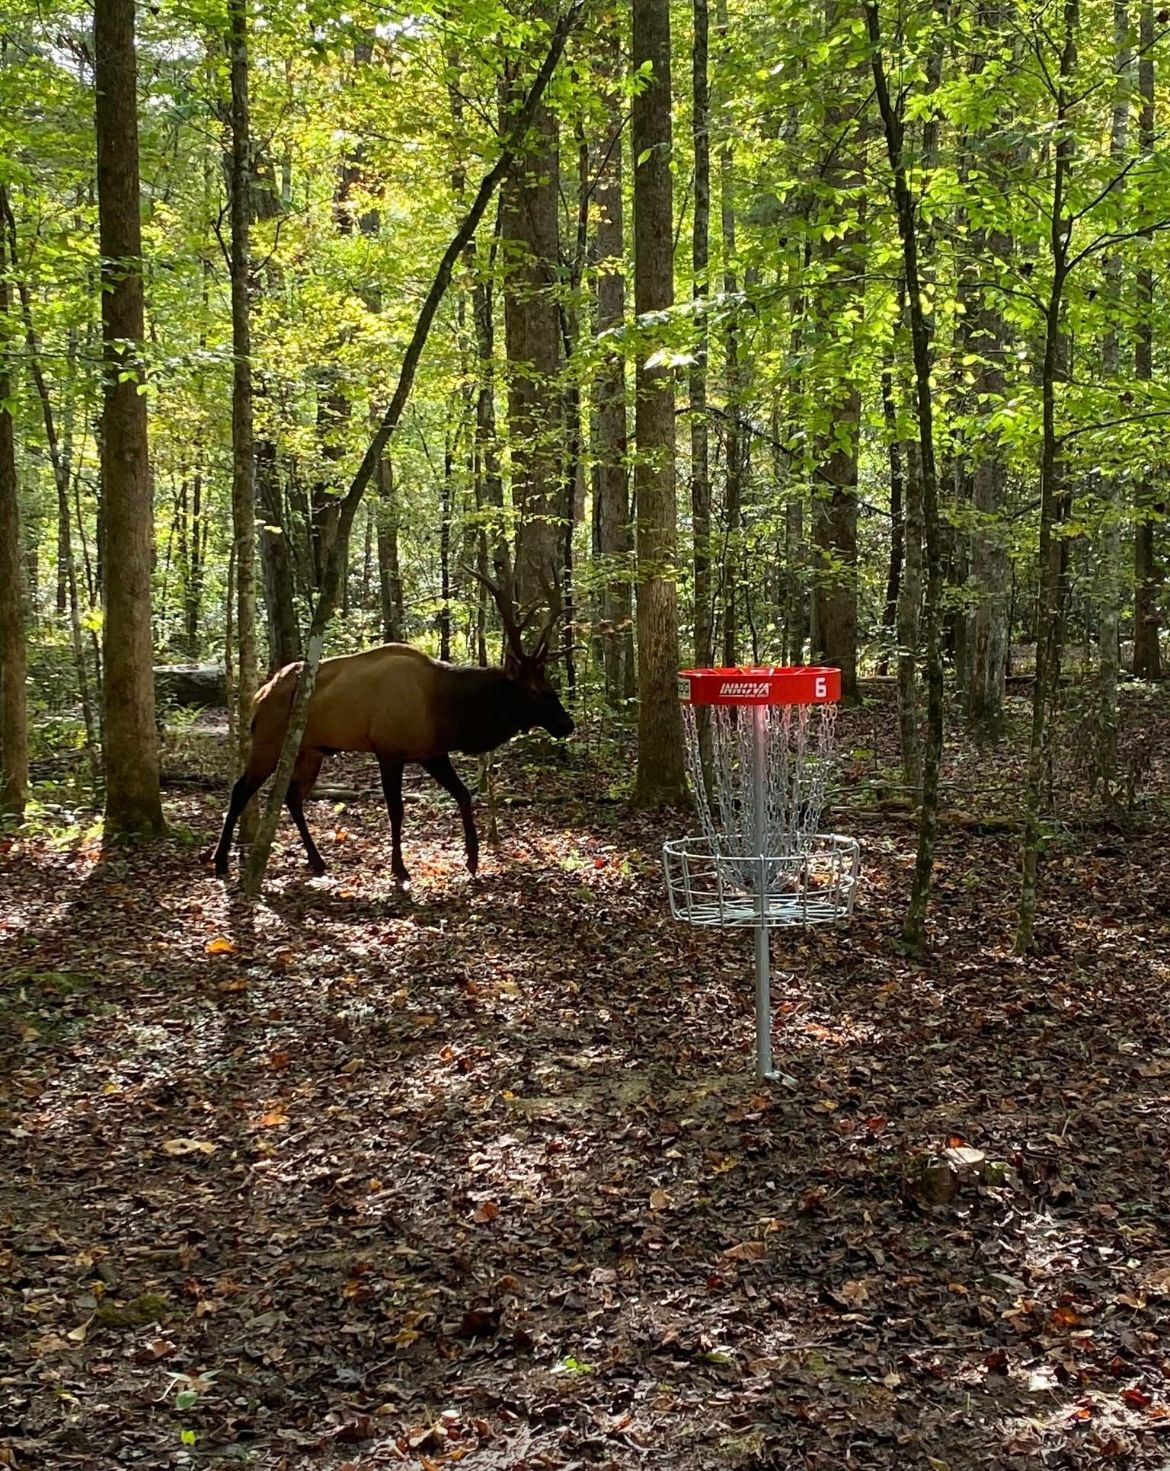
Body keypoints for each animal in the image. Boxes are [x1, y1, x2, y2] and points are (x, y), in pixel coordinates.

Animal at [211, 572, 573, 884]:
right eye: (534, 690)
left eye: (549, 685)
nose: (566, 724)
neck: (448, 713)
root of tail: (260, 695)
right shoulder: (389, 749)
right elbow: (396, 810)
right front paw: (399, 868)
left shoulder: (432, 752)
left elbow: (463, 794)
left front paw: (472, 859)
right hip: (269, 740)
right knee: (241, 789)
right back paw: (220, 860)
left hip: (310, 749)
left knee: (293, 796)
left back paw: (316, 860)